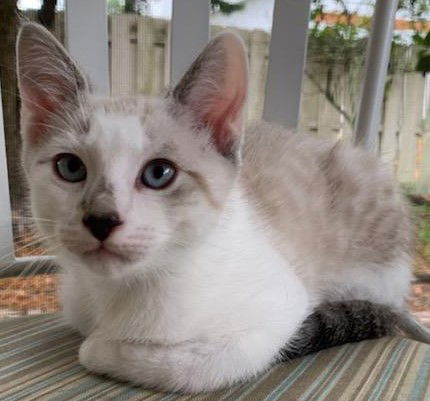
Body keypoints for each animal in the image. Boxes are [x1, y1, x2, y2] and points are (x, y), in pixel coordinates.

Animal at [15, 21, 430, 390]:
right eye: (70, 167)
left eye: (159, 173)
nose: (101, 219)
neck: (119, 295)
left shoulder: (279, 308)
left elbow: (195, 365)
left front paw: (99, 349)